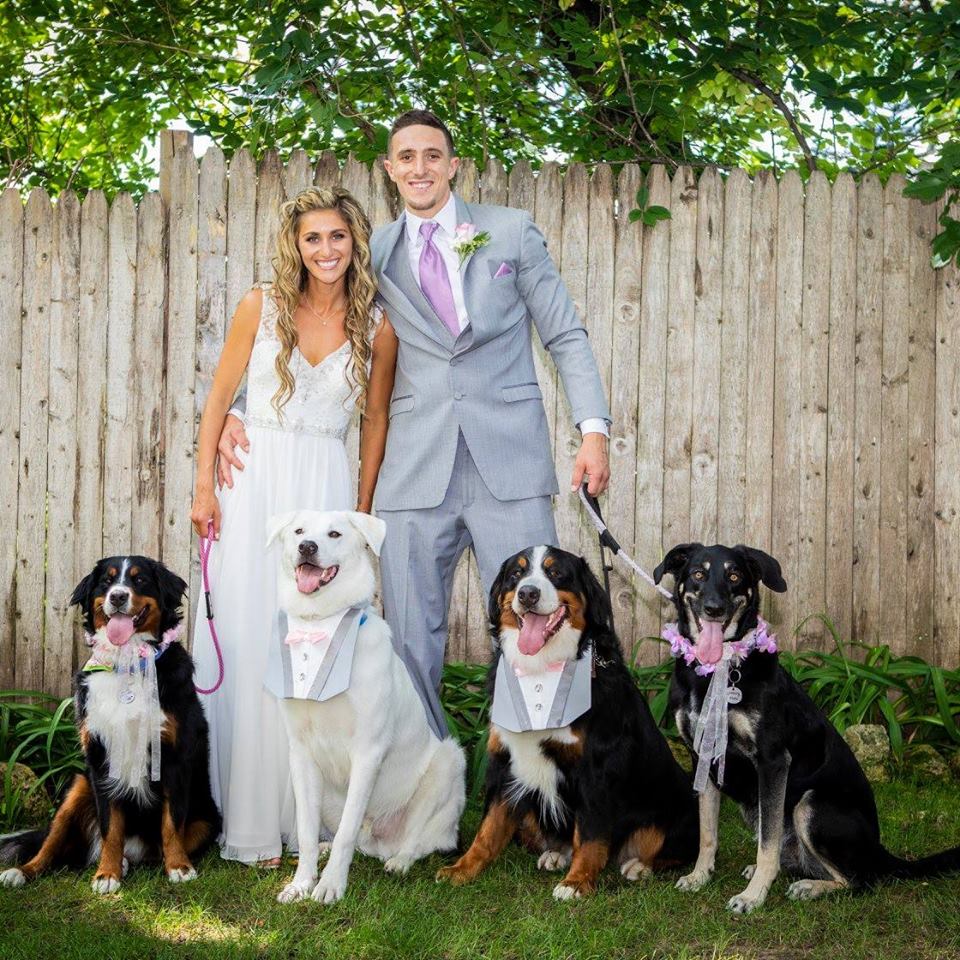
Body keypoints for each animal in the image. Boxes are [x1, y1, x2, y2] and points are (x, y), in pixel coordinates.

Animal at [0, 556, 219, 892]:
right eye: (107, 581)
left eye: (140, 580)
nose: (117, 596)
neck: (128, 660)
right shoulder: (101, 759)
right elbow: (110, 826)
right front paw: (107, 874)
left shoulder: (174, 758)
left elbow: (171, 822)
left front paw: (179, 867)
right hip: (77, 788)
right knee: (50, 845)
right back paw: (22, 871)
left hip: (208, 819)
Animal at [266, 506, 464, 904]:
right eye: (299, 532)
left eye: (335, 534)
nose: (307, 547)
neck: (319, 623)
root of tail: (378, 840)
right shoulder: (301, 753)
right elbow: (308, 831)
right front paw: (301, 882)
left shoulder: (368, 751)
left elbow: (345, 832)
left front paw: (329, 886)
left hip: (449, 763)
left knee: (415, 840)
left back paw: (399, 861)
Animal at [436, 548, 696, 900]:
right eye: (516, 575)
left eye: (556, 573)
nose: (528, 594)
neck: (541, 668)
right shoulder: (506, 763)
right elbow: (488, 828)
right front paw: (462, 869)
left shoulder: (594, 770)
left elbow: (590, 834)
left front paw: (577, 882)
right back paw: (555, 854)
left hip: (680, 804)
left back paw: (639, 867)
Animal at [652, 544, 960, 912]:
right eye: (698, 573)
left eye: (734, 575)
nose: (715, 608)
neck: (718, 669)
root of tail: (880, 853)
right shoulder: (703, 758)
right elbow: (708, 832)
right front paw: (700, 876)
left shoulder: (772, 762)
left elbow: (768, 842)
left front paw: (753, 896)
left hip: (811, 805)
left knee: (860, 880)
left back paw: (810, 887)